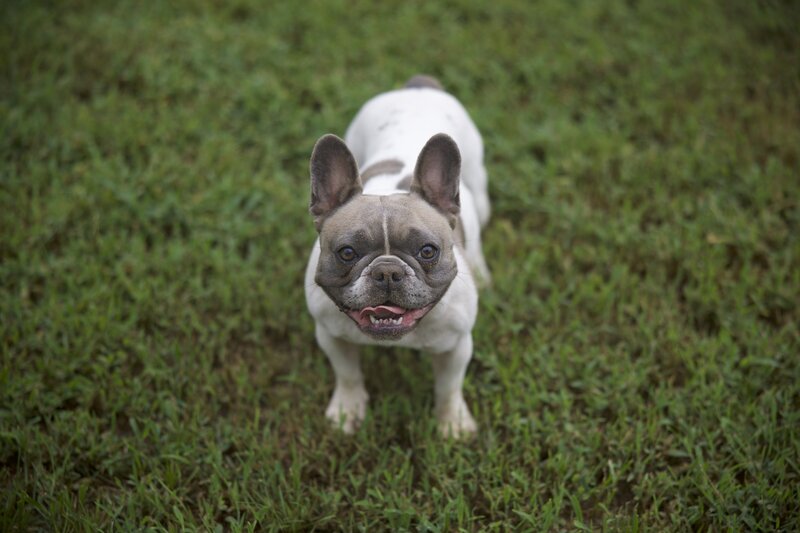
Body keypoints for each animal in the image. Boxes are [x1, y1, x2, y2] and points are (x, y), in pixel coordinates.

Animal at [304, 74, 488, 436]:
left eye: (428, 251)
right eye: (347, 253)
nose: (387, 271)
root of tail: (417, 87)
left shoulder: (457, 346)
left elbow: (449, 387)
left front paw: (452, 424)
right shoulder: (331, 335)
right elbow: (347, 373)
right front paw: (348, 411)